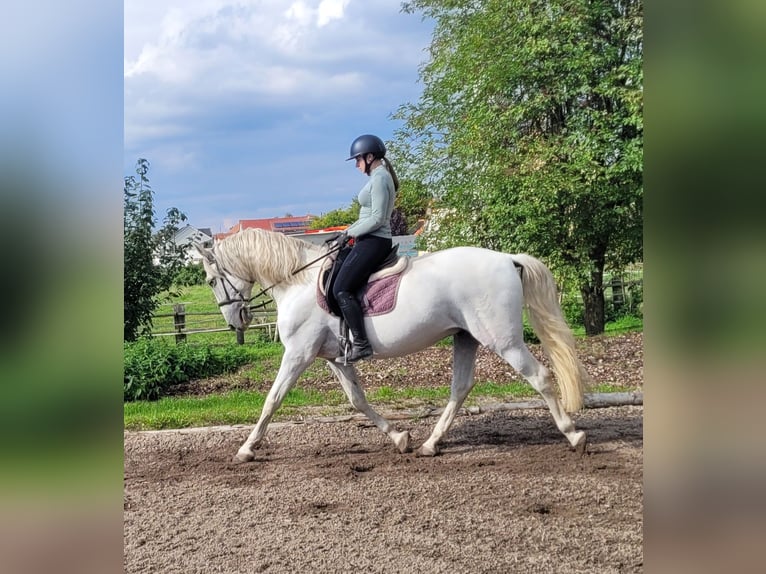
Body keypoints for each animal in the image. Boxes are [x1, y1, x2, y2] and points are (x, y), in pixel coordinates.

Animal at [196, 228, 589, 462]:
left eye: (212, 279)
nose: (235, 321)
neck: (299, 281)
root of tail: (508, 259)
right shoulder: (336, 359)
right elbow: (357, 400)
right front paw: (399, 437)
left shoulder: (298, 354)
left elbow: (272, 400)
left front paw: (246, 448)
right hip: (466, 337)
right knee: (461, 387)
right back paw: (431, 444)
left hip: (502, 339)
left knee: (539, 376)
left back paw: (573, 435)